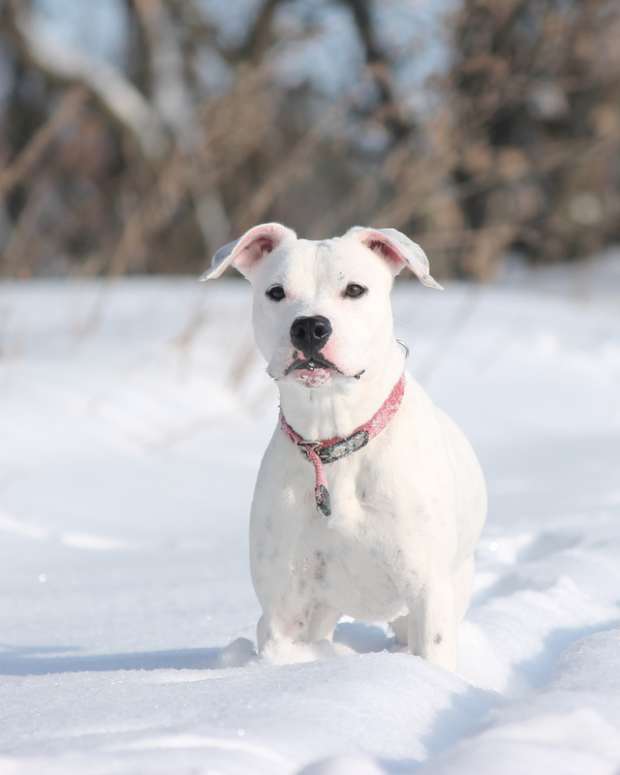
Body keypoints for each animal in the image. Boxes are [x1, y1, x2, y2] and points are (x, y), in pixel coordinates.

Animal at [203, 224, 484, 672]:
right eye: (276, 291)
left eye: (355, 289)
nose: (309, 327)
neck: (335, 439)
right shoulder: (284, 610)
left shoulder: (429, 593)